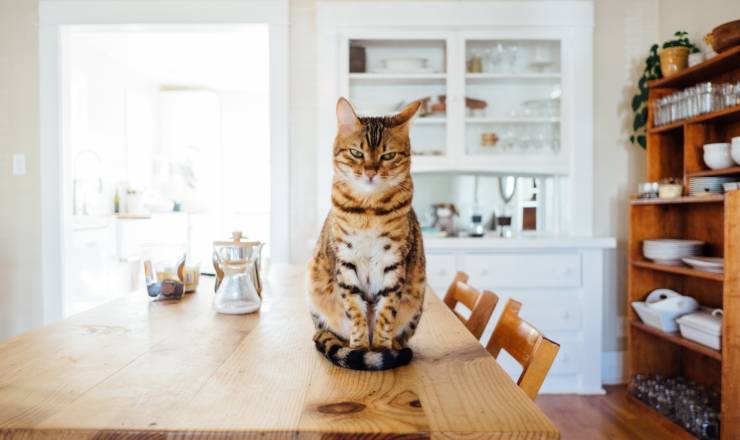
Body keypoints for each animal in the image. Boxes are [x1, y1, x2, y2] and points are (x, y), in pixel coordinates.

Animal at [306, 98, 428, 370]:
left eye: (388, 155)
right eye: (356, 153)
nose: (371, 172)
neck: (369, 210)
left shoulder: (394, 262)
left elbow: (386, 312)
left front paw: (381, 349)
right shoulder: (345, 260)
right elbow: (355, 311)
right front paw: (360, 348)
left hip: (416, 298)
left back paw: (394, 349)